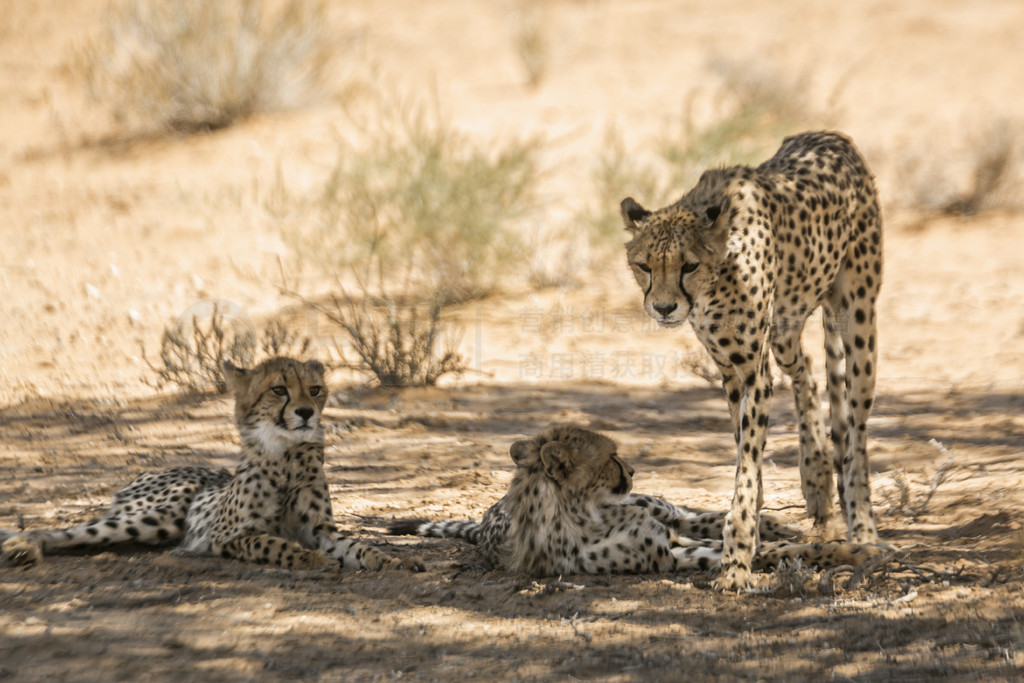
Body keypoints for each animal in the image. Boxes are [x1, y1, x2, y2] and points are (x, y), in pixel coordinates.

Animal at [1, 356, 419, 573]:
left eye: (315, 390)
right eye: (279, 389)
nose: (306, 413)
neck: (286, 455)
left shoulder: (321, 530)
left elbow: (358, 544)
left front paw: (390, 559)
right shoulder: (227, 536)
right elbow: (273, 543)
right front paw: (307, 557)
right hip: (155, 518)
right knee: (62, 530)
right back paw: (23, 547)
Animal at [387, 428, 884, 577]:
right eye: (609, 457)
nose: (632, 469)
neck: (586, 512)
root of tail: (486, 513)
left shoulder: (662, 535)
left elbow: (756, 544)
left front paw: (845, 547)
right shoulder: (667, 557)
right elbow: (755, 554)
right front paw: (851, 551)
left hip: (656, 506)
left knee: (692, 515)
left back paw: (775, 522)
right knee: (692, 523)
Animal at [618, 131, 884, 589]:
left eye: (688, 265)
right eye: (644, 266)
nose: (665, 308)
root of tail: (833, 136)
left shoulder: (753, 371)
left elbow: (747, 465)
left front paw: (738, 559)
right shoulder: (732, 370)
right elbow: (747, 454)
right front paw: (752, 532)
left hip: (859, 321)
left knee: (858, 433)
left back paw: (863, 525)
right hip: (784, 333)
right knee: (807, 371)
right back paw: (816, 475)